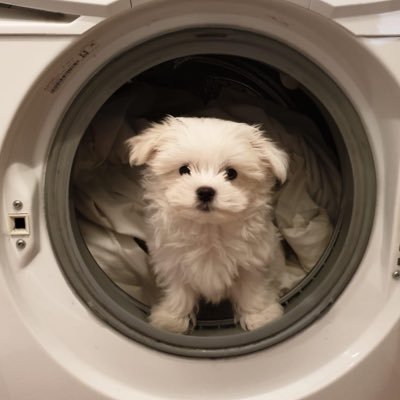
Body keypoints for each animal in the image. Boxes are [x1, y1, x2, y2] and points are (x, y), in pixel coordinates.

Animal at [127, 116, 288, 334]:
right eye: (184, 170)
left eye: (231, 173)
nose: (205, 191)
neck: (209, 229)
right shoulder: (173, 263)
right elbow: (179, 293)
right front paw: (172, 319)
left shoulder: (254, 263)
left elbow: (252, 291)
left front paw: (260, 317)